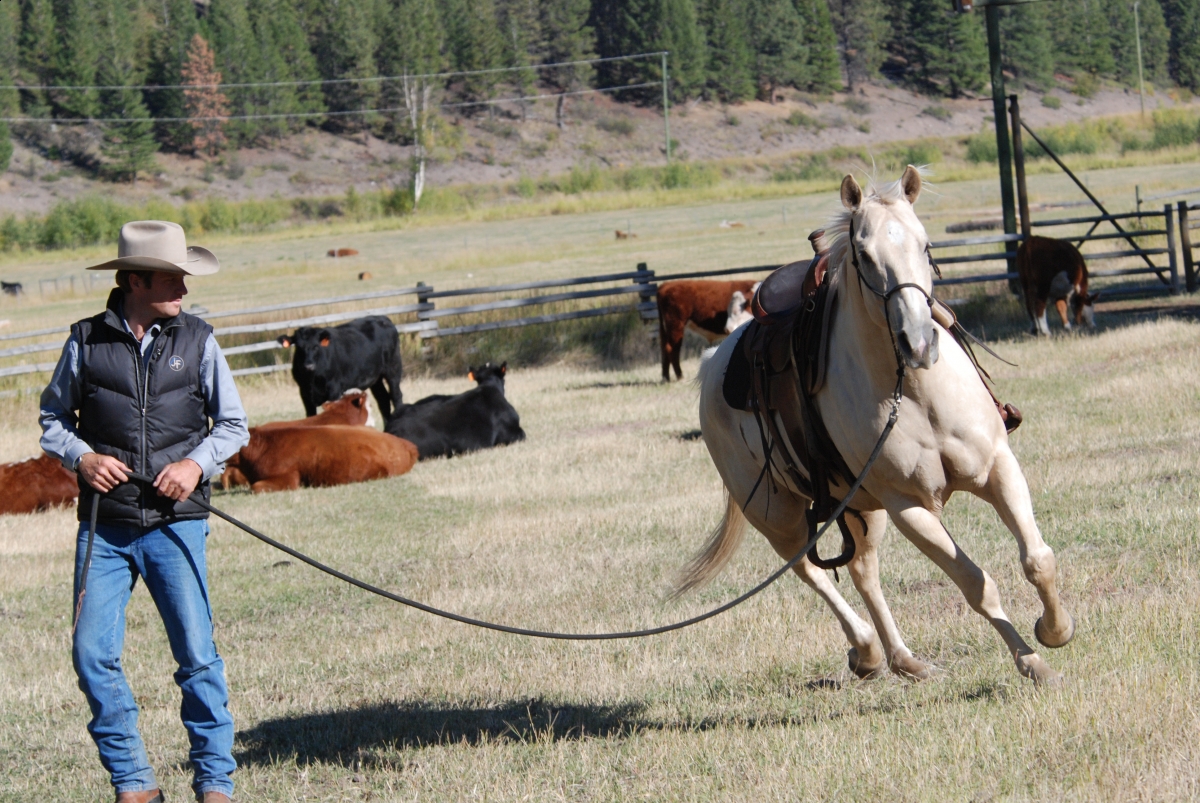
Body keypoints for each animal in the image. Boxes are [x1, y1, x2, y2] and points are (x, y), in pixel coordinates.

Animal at [683, 166, 1074, 685]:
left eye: (927, 245)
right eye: (865, 255)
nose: (918, 341)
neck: (915, 391)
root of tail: (714, 362)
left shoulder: (997, 466)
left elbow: (1038, 559)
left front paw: (1055, 630)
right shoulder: (909, 506)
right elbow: (975, 584)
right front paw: (1032, 660)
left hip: (856, 506)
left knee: (861, 570)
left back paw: (903, 659)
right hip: (778, 515)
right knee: (809, 570)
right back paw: (866, 650)